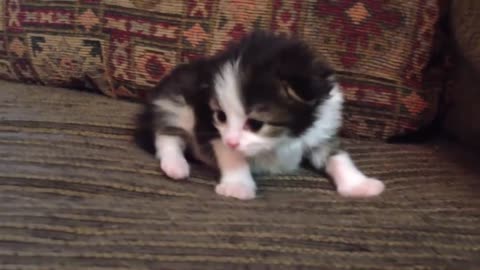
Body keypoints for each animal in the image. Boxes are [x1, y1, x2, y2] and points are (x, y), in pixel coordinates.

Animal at [135, 31, 386, 200]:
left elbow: (338, 156)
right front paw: (237, 186)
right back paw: (176, 165)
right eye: (221, 116)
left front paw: (359, 185)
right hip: (177, 101)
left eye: (255, 123)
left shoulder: (322, 129)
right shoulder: (209, 127)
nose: (232, 141)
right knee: (167, 135)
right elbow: (232, 155)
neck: (284, 139)